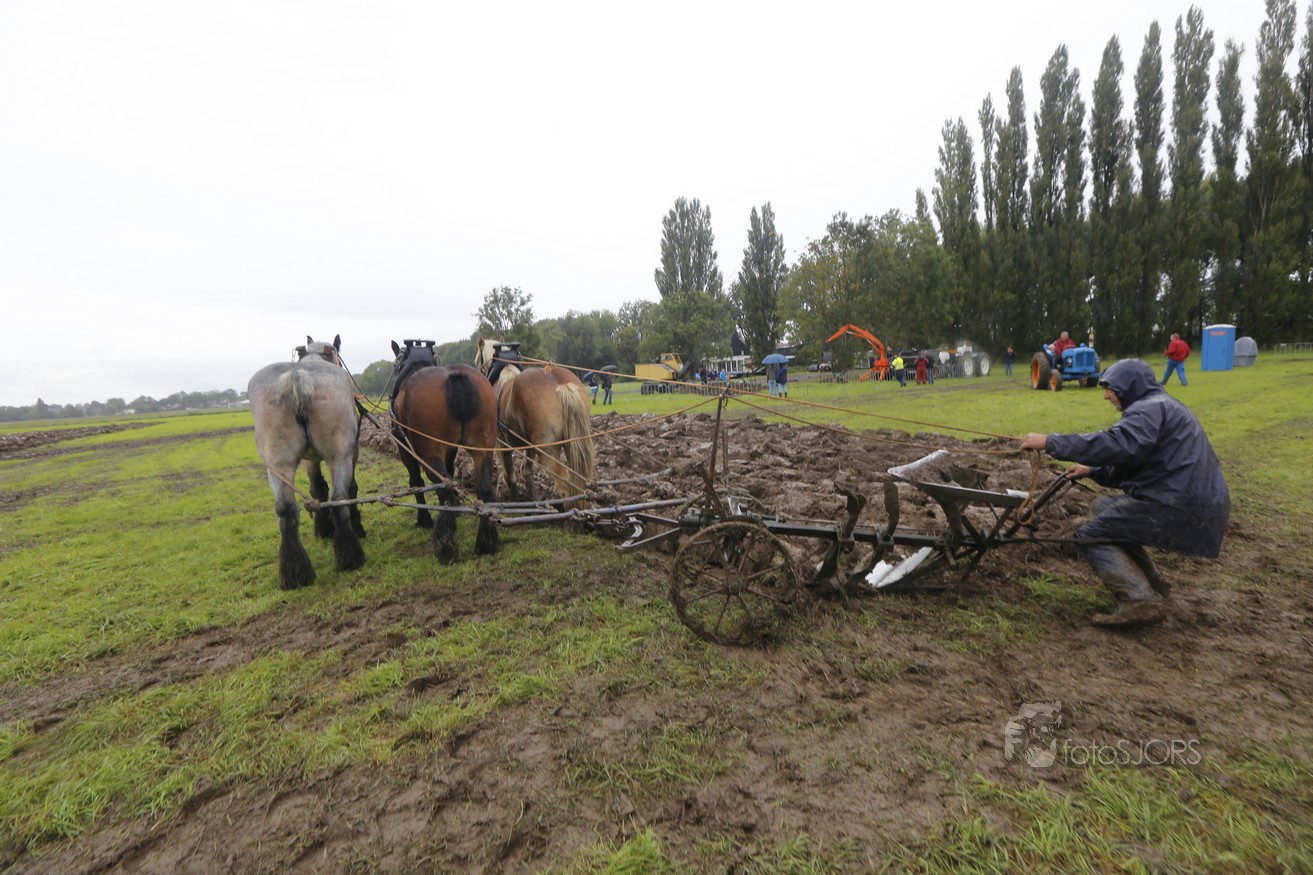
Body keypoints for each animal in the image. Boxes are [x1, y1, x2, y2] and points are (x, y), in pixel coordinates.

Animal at [248, 334, 366, 588]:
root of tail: (296, 376)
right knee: (339, 498)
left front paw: (322, 529)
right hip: (339, 457)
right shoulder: (350, 452)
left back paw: (295, 572)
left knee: (285, 509)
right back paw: (350, 556)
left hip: (278, 466)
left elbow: (317, 489)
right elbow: (340, 489)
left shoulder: (308, 461)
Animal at [389, 339, 500, 562]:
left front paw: (424, 518)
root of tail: (454, 377)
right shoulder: (450, 449)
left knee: (444, 485)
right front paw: (457, 506)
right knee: (483, 488)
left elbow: (416, 482)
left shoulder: (405, 449)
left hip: (429, 452)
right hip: (483, 447)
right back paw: (487, 541)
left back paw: (445, 545)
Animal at [474, 337, 596, 507]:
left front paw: (515, 501)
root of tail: (561, 386)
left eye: (477, 361)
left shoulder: (501, 444)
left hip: (547, 450)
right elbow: (526, 470)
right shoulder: (529, 446)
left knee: (565, 485)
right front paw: (532, 498)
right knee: (579, 482)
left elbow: (510, 476)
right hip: (573, 445)